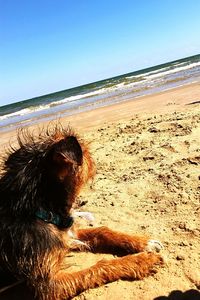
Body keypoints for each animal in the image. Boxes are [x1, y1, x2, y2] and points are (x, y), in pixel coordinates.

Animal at [0, 126, 162, 300]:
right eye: (86, 152)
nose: (93, 156)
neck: (41, 210)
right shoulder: (49, 286)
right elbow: (98, 267)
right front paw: (141, 261)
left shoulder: (70, 233)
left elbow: (102, 231)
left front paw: (144, 243)